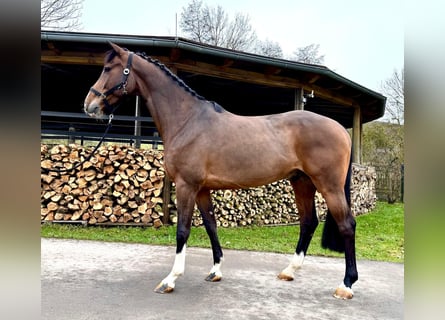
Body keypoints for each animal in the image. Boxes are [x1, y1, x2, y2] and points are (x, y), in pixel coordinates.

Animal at [84, 41, 358, 298]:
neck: (188, 121)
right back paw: (289, 271)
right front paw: (215, 271)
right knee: (308, 222)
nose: (89, 105)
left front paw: (170, 279)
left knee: (346, 224)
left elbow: (182, 230)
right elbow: (210, 225)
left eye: (109, 68)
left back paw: (346, 285)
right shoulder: (202, 189)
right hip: (301, 182)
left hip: (328, 185)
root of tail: (341, 130)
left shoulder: (186, 186)